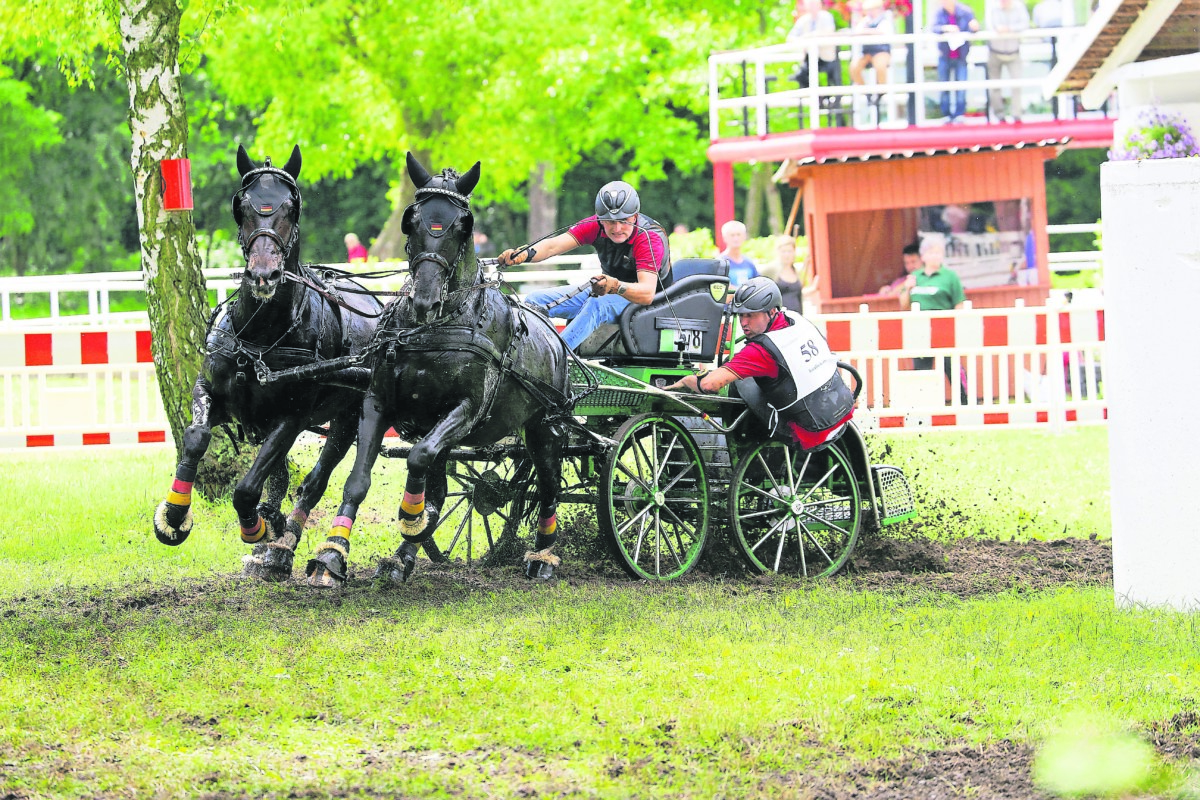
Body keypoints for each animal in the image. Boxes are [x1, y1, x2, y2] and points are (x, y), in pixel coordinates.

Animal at [152, 145, 379, 582]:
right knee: (286, 476)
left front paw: (258, 525)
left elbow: (247, 488)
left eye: (292, 207)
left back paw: (297, 549)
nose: (263, 275)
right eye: (242, 206)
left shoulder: (290, 417)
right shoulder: (211, 390)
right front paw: (174, 514)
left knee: (316, 481)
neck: (259, 337)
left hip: (348, 416)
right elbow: (196, 437)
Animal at [307, 151, 573, 587]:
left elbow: (418, 459)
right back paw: (403, 556)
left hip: (544, 427)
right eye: (411, 220)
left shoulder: (466, 409)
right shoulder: (378, 402)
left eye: (463, 226)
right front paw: (332, 553)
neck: (436, 327)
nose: (425, 300)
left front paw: (412, 517)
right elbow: (360, 480)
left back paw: (543, 556)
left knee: (549, 485)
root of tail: (554, 334)